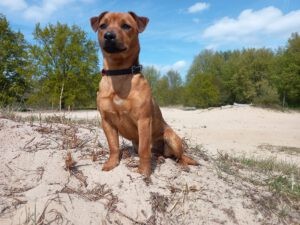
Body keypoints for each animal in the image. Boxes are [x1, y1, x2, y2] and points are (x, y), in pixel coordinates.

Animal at [89, 11, 197, 177]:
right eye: (103, 25)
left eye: (126, 26)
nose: (108, 35)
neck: (119, 73)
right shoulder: (106, 121)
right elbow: (113, 146)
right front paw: (111, 163)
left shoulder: (143, 120)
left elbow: (144, 149)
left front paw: (144, 171)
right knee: (161, 155)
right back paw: (160, 158)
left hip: (172, 138)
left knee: (180, 156)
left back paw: (183, 165)